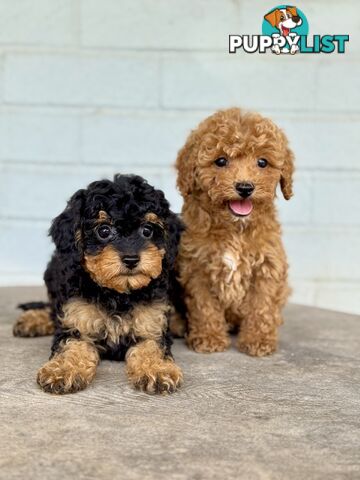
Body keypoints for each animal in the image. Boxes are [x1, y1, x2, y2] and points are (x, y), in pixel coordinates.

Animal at [13, 173, 184, 394]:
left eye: (147, 230)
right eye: (104, 230)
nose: (131, 259)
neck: (118, 293)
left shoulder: (152, 324)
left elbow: (152, 346)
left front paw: (157, 369)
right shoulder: (76, 320)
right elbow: (72, 345)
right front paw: (62, 370)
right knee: (52, 309)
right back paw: (32, 320)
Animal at [175, 109, 296, 356]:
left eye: (262, 162)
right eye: (221, 161)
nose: (245, 187)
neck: (235, 228)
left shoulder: (267, 267)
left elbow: (262, 305)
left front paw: (259, 339)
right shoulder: (197, 267)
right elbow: (204, 306)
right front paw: (209, 337)